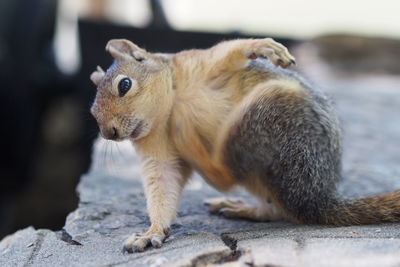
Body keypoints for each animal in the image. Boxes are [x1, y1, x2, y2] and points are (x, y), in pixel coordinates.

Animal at [89, 37, 400, 253]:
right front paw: (151, 232)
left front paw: (264, 47)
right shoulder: (156, 151)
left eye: (125, 85)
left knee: (226, 175)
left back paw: (192, 142)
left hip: (268, 116)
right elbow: (162, 183)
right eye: (92, 113)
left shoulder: (202, 64)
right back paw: (243, 205)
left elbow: (231, 51)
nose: (110, 133)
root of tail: (319, 196)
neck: (169, 107)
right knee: (272, 207)